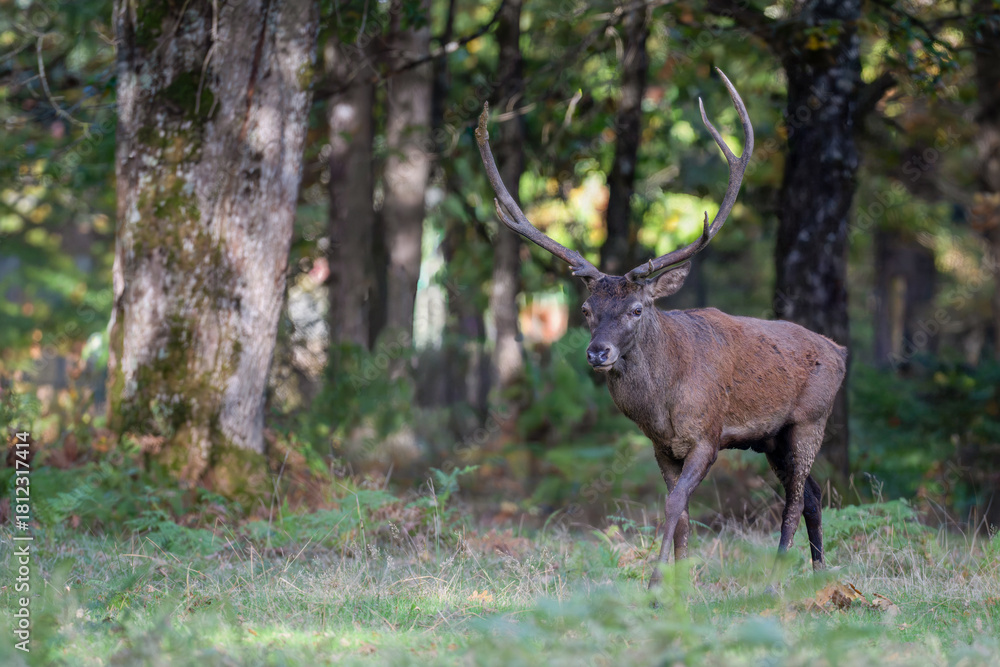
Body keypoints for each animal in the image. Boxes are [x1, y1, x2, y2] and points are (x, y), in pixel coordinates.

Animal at [475, 70, 847, 588]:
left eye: (636, 308)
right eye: (586, 309)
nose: (598, 353)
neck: (662, 405)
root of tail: (840, 350)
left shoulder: (707, 435)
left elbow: (674, 505)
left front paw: (655, 585)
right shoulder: (661, 446)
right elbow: (683, 513)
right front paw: (680, 584)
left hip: (811, 419)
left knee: (795, 500)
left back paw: (776, 575)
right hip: (772, 438)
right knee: (812, 495)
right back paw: (818, 572)